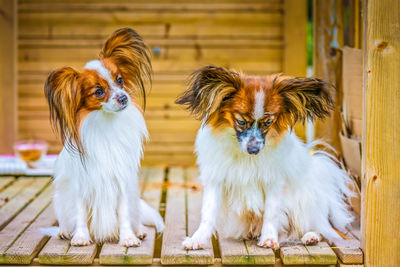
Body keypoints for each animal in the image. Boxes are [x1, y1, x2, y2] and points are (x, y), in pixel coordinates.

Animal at [45, 28, 166, 247]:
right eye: (99, 91)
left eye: (120, 80)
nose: (123, 97)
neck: (106, 123)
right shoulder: (80, 184)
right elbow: (80, 213)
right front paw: (80, 237)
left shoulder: (122, 182)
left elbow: (124, 213)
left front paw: (128, 237)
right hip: (60, 198)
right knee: (66, 218)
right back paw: (65, 231)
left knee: (135, 216)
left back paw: (139, 231)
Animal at [177, 66, 352, 250]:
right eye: (241, 121)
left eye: (268, 123)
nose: (254, 150)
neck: (245, 156)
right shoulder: (216, 180)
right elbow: (208, 214)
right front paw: (197, 239)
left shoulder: (274, 182)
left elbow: (271, 212)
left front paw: (268, 238)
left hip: (304, 203)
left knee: (322, 229)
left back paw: (311, 236)